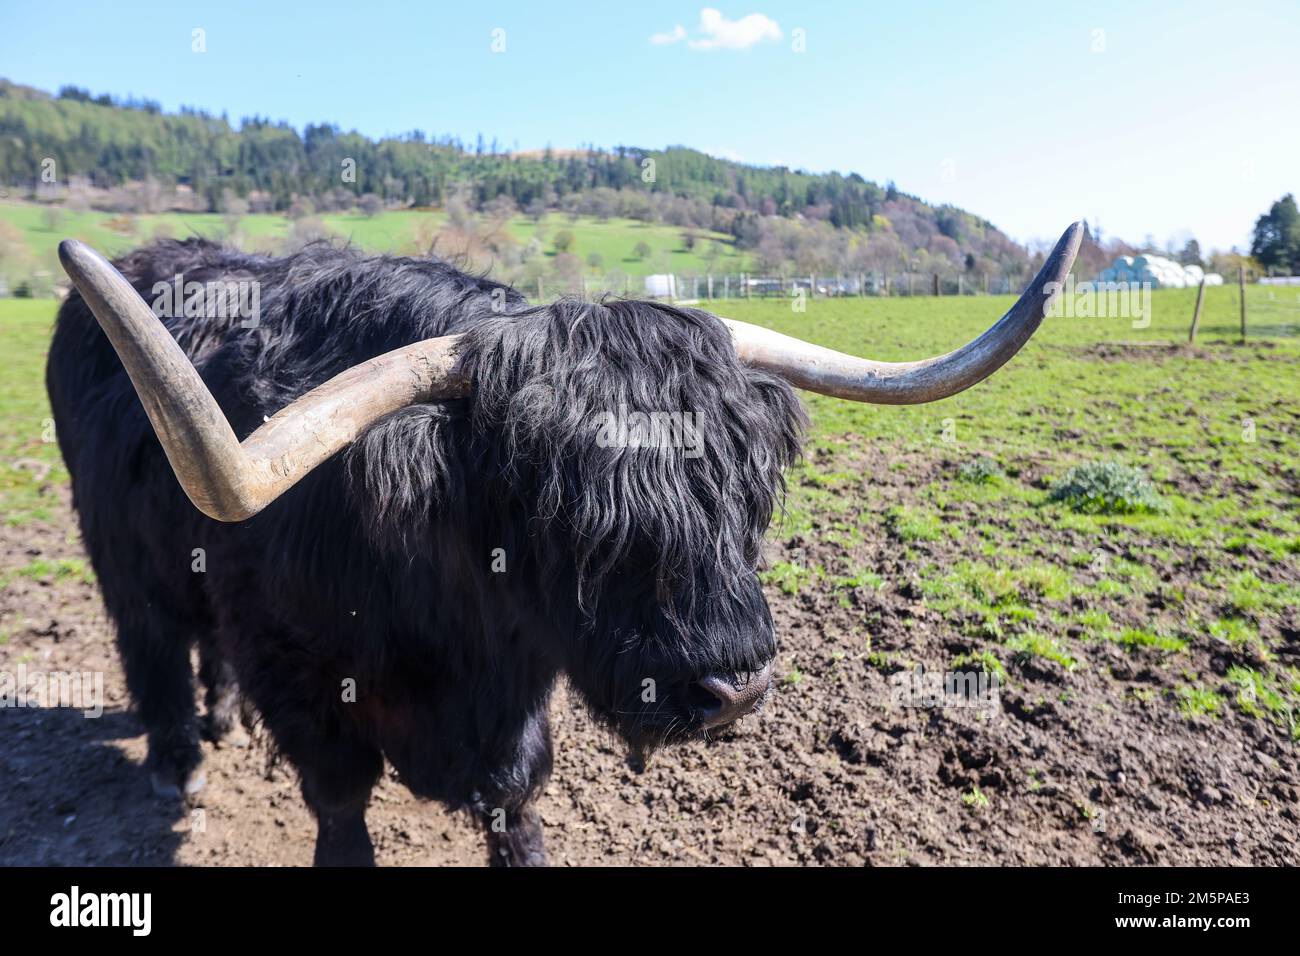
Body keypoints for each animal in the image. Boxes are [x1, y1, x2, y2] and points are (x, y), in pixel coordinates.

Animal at [45, 226, 1081, 868]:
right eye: (573, 516)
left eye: (742, 493)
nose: (736, 686)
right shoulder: (299, 676)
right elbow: (341, 809)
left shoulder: (515, 707)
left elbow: (517, 799)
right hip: (114, 552)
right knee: (151, 642)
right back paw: (178, 763)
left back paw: (217, 724)